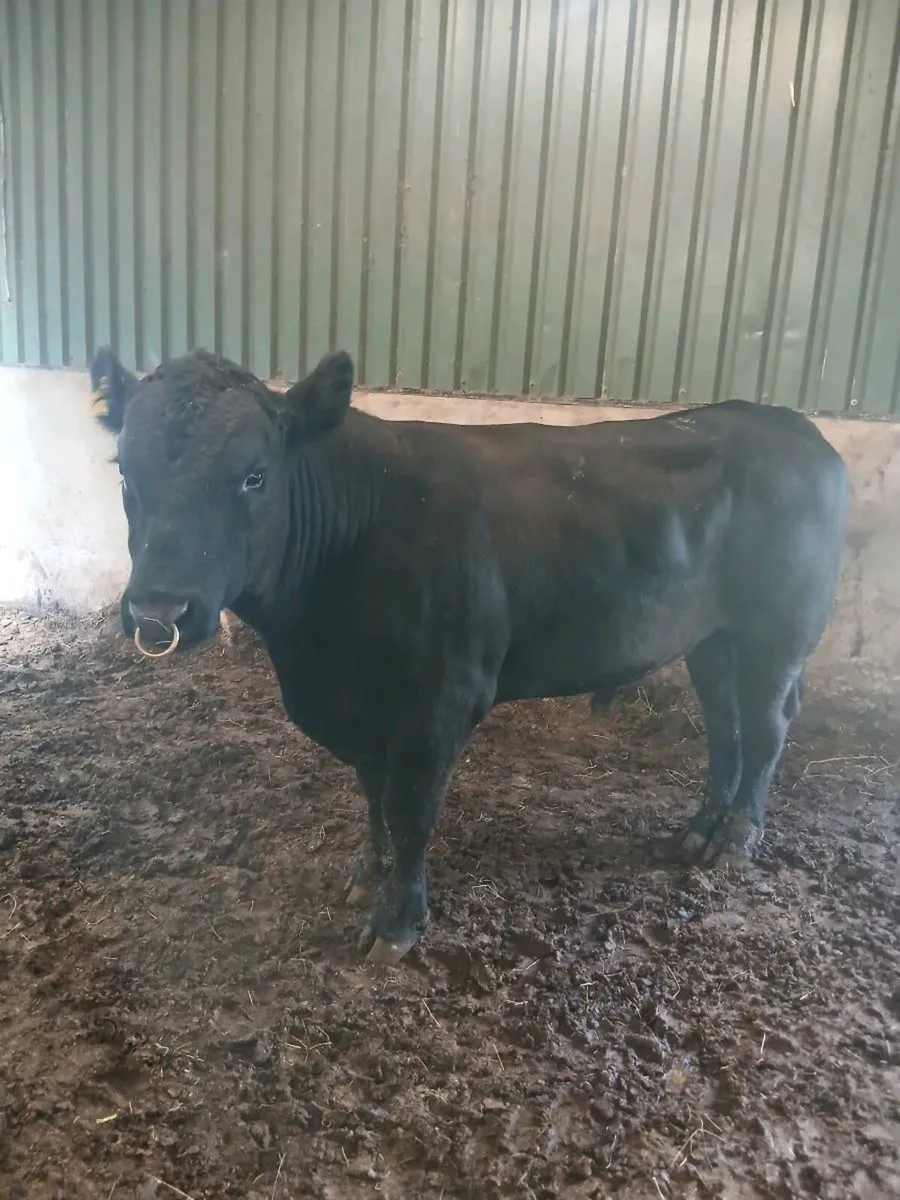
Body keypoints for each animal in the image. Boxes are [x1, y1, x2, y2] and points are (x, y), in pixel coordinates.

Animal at [89, 345, 849, 964]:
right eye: (123, 472)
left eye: (253, 476)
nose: (159, 613)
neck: (315, 650)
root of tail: (792, 428)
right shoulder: (362, 706)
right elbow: (372, 793)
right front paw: (367, 874)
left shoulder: (439, 701)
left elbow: (410, 809)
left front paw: (397, 920)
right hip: (711, 639)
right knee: (725, 725)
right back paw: (699, 831)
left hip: (777, 629)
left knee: (769, 724)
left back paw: (736, 838)